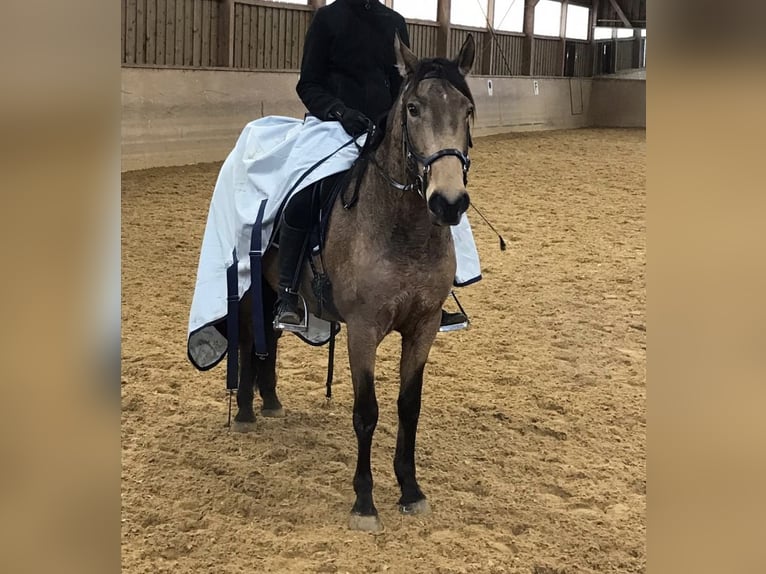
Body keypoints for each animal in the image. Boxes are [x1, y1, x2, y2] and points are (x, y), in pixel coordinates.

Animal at [231, 33, 476, 532]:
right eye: (414, 108)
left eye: (467, 109)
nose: (448, 202)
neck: (401, 231)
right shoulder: (362, 331)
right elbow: (367, 413)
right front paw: (364, 501)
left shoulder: (422, 328)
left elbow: (408, 407)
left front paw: (411, 489)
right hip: (251, 287)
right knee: (250, 337)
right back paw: (246, 410)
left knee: (272, 336)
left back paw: (270, 400)